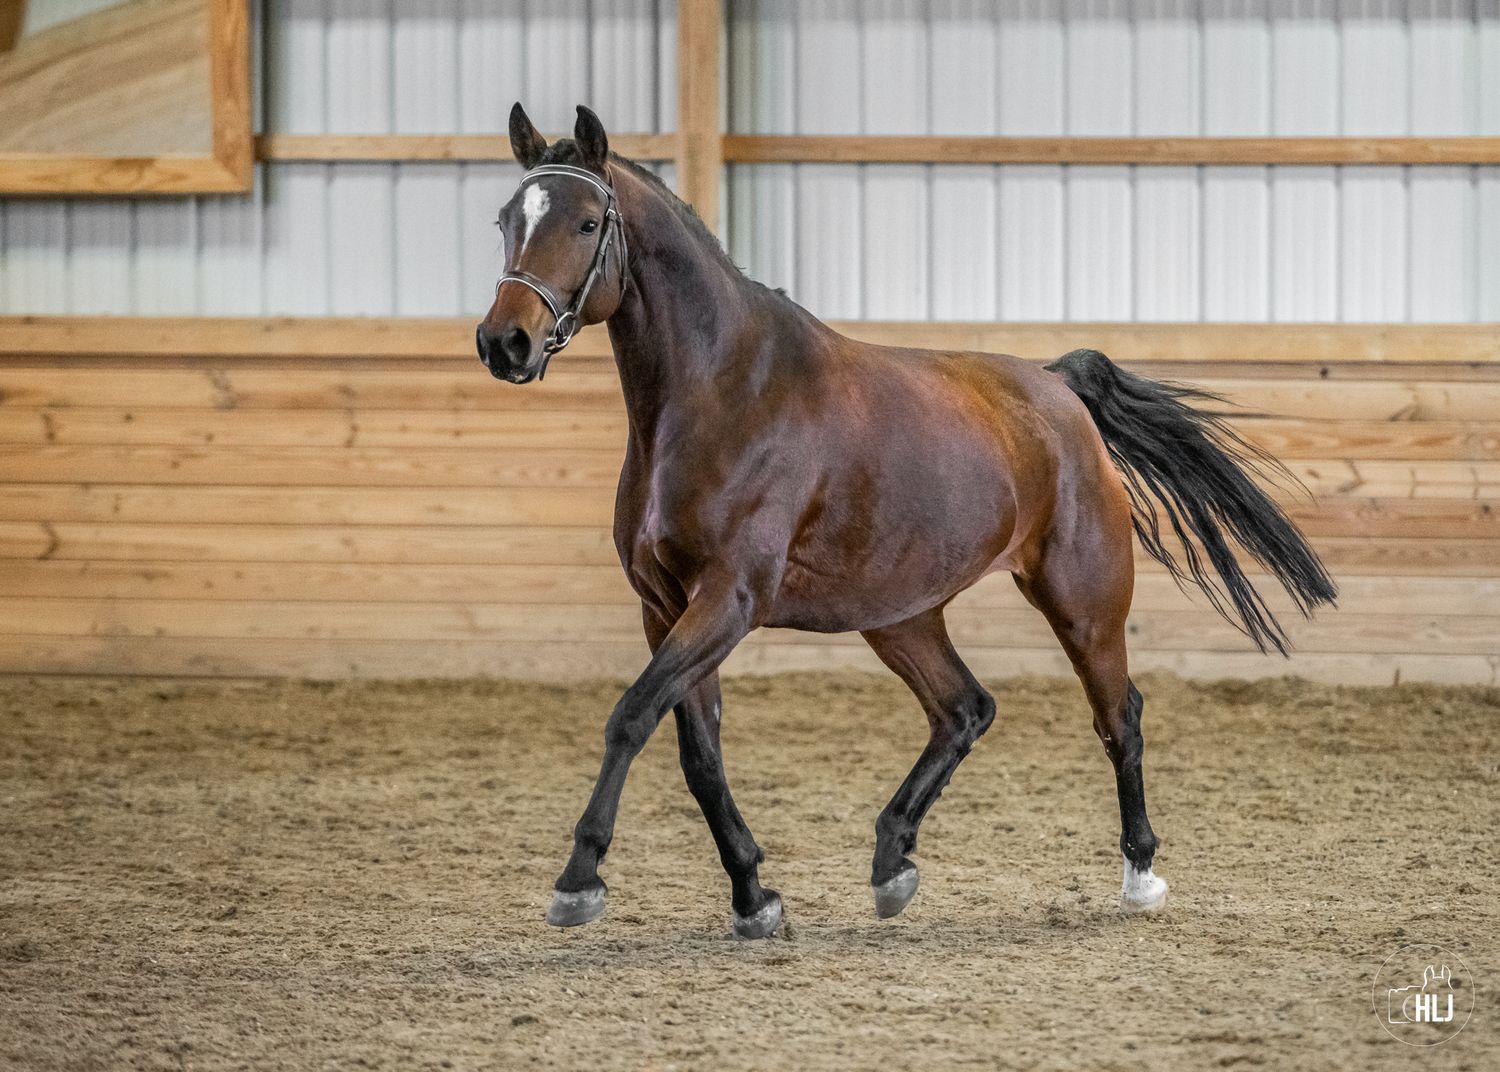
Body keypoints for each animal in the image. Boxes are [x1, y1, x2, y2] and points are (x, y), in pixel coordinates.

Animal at [477, 104, 1337, 939]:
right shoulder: (666, 608)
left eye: (588, 221)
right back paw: (892, 862)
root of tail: (1058, 388)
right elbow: (698, 754)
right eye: (505, 219)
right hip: (901, 616)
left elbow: (630, 717)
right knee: (965, 710)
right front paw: (754, 898)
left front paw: (579, 881)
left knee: (1117, 716)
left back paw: (1140, 877)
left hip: (1082, 604)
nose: (504, 342)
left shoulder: (728, 599)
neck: (724, 396)